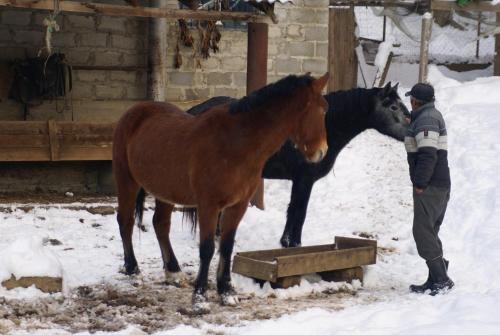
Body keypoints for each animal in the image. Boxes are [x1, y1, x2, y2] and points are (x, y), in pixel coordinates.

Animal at [113, 73, 330, 316]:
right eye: (317, 109)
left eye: (325, 108)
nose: (321, 151)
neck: (235, 144)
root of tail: (134, 111)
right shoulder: (208, 205)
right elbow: (207, 249)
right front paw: (200, 298)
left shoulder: (238, 205)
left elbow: (227, 245)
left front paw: (226, 291)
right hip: (126, 180)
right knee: (126, 221)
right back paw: (133, 270)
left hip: (165, 191)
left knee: (160, 224)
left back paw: (173, 272)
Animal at [188, 82, 410, 248]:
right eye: (393, 107)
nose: (410, 131)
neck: (323, 127)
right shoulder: (304, 179)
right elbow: (299, 211)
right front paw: (291, 243)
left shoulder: (301, 181)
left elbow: (295, 210)